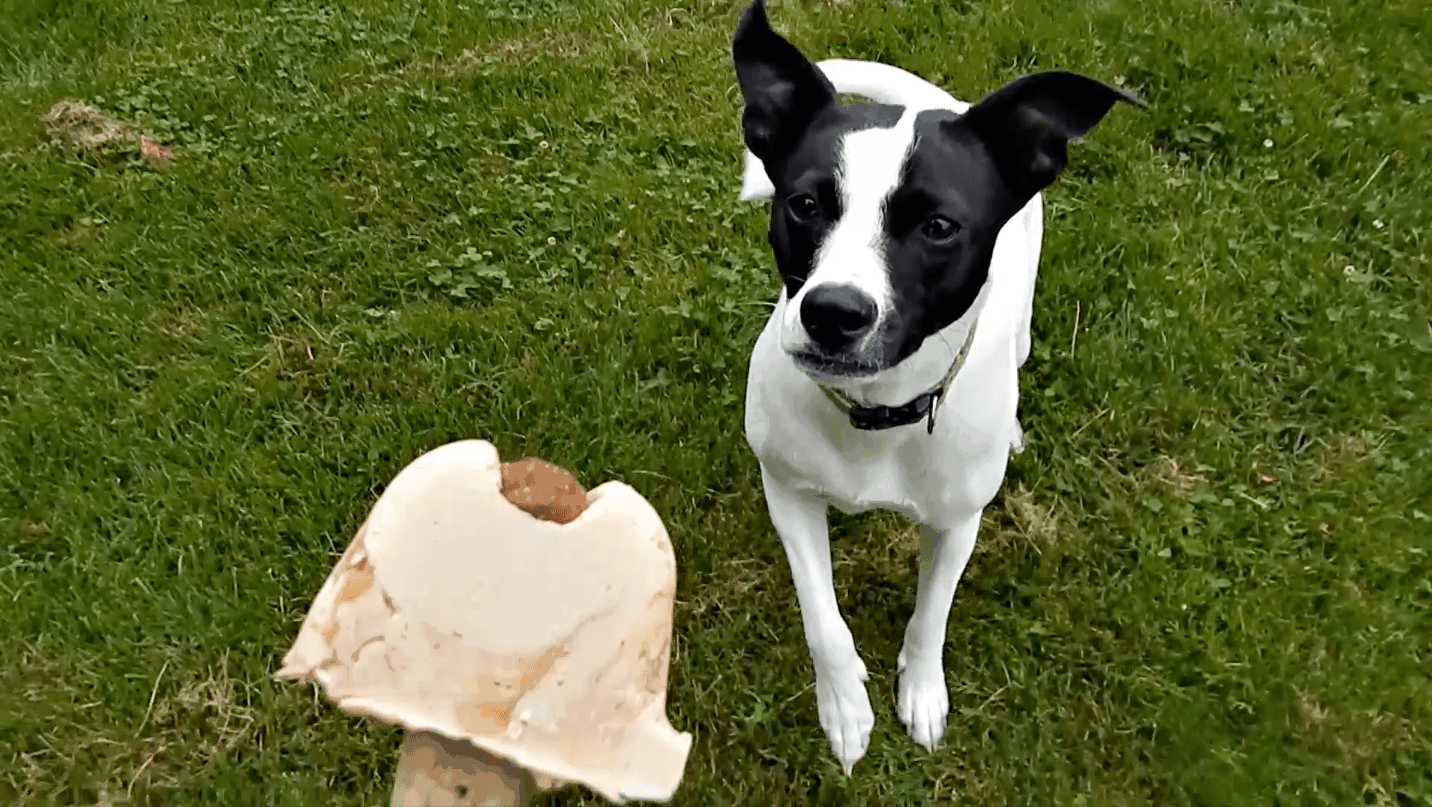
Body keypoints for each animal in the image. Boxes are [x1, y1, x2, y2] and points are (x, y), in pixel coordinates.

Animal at [733, 0, 1134, 766]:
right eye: (804, 205)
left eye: (939, 225)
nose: (833, 313)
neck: (876, 416)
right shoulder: (788, 492)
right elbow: (822, 619)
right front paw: (845, 707)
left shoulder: (956, 523)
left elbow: (931, 614)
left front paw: (920, 691)